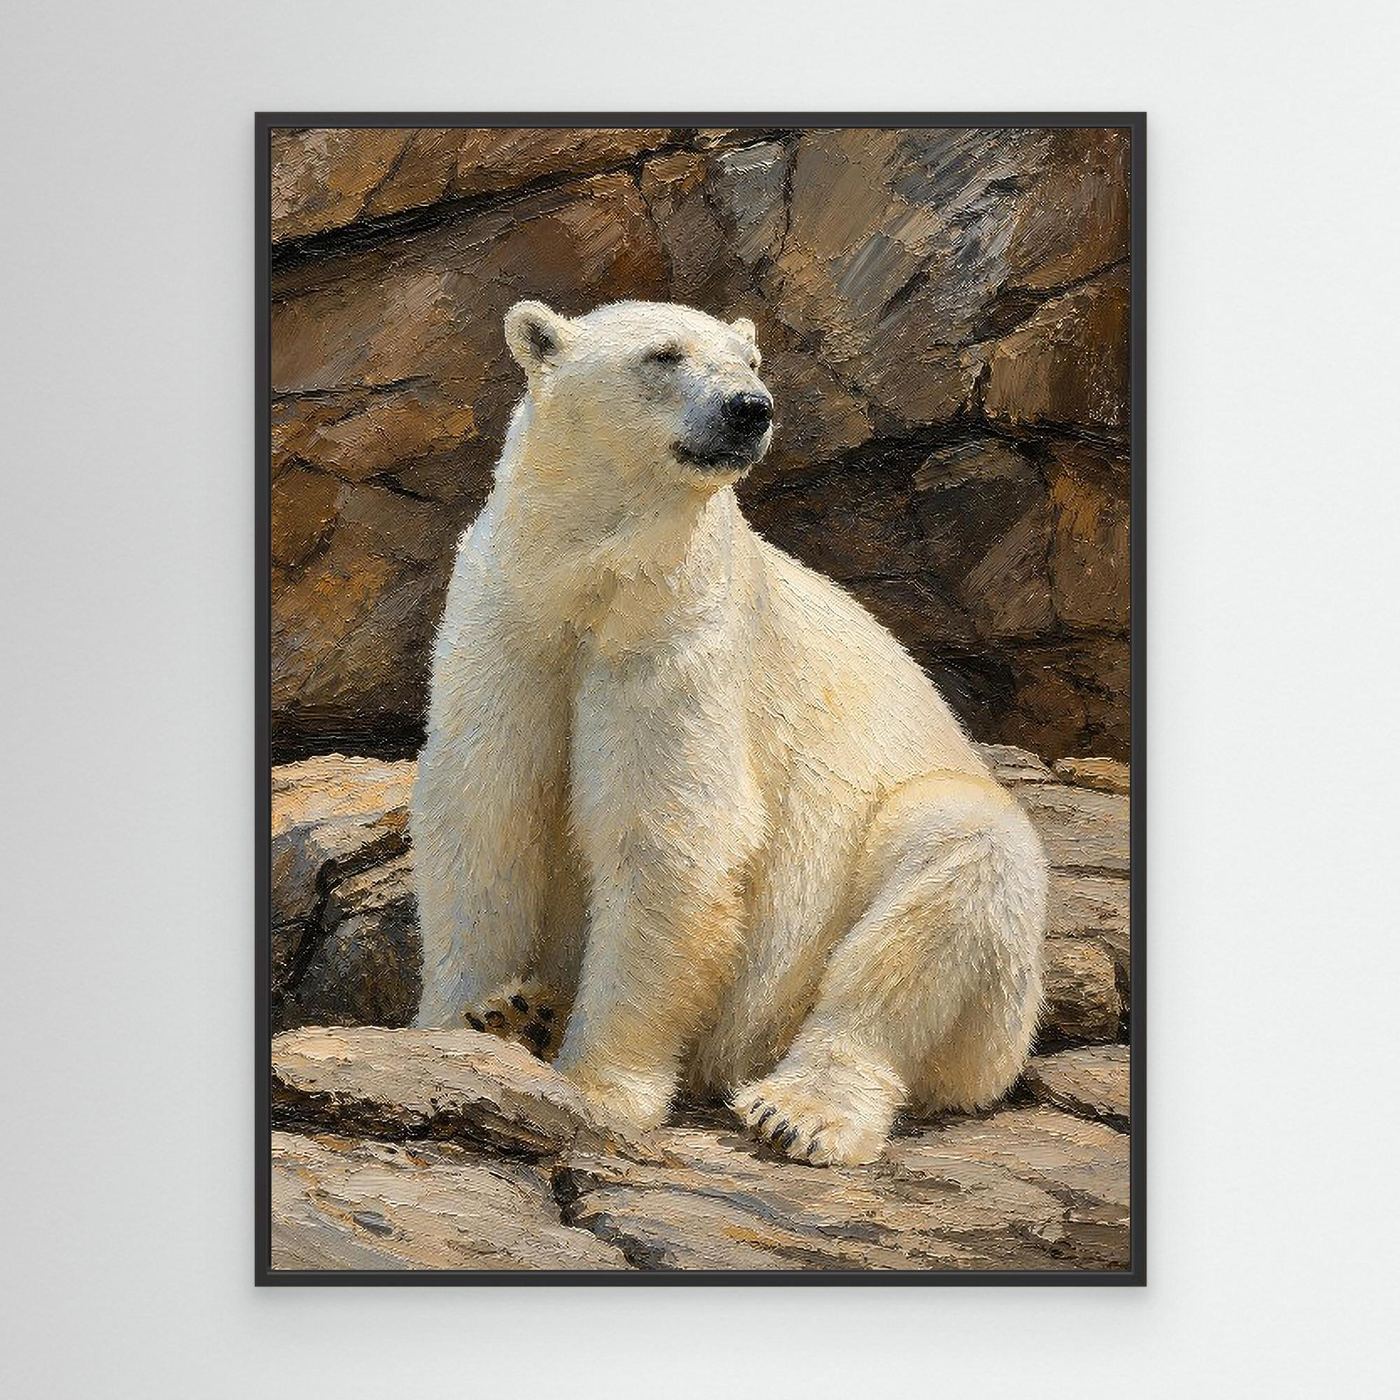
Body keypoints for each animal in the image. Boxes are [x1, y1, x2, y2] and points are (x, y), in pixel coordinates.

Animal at [410, 298, 1047, 1167]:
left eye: (750, 362)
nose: (750, 409)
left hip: (920, 985)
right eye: (663, 354)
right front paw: (457, 1023)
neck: (590, 580)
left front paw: (598, 1088)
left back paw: (802, 1110)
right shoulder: (507, 619)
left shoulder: (678, 636)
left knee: (957, 860)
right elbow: (484, 804)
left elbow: (667, 834)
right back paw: (528, 1010)